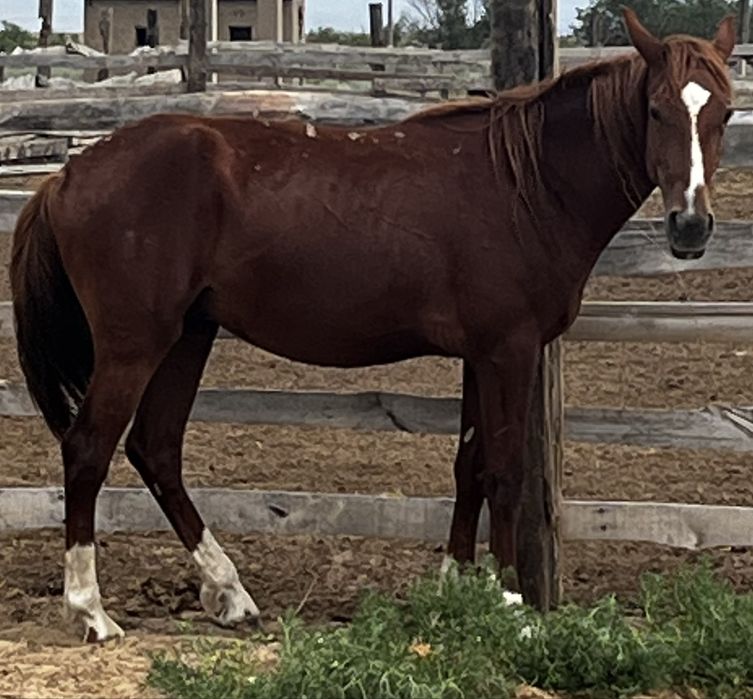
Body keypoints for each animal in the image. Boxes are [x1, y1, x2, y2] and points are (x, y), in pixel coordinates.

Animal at [10, 8, 735, 643]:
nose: (690, 227)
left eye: (724, 112)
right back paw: (91, 611)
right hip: (135, 345)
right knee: (89, 449)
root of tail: (69, 173)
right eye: (655, 110)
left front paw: (455, 589)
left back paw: (231, 594)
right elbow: (505, 469)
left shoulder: (480, 355)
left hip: (189, 336)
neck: (523, 186)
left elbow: (469, 465)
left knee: (156, 449)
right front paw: (511, 603)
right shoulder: (511, 350)